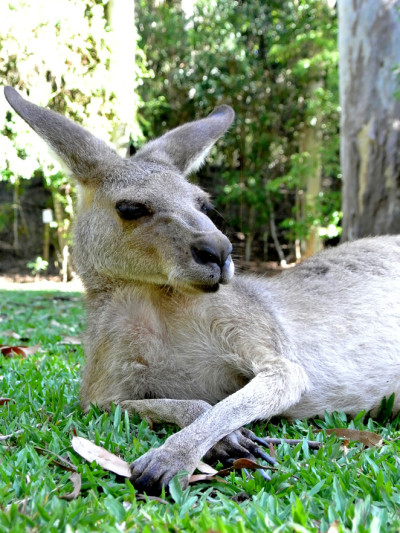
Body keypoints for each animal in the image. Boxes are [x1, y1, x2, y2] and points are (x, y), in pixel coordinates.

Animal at [4, 86, 400, 495]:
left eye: (203, 204)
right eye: (130, 208)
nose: (220, 251)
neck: (151, 296)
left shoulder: (264, 340)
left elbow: (265, 387)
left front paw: (171, 457)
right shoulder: (103, 388)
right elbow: (145, 404)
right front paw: (226, 440)